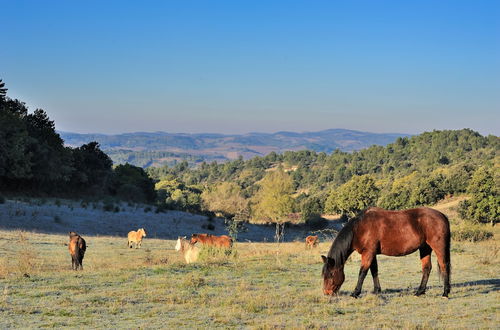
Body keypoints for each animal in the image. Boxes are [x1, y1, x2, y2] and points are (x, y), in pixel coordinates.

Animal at [322, 209, 452, 300]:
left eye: (331, 274)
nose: (327, 293)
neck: (359, 228)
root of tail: (442, 216)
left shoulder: (368, 253)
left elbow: (362, 272)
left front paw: (355, 293)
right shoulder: (372, 253)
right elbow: (374, 271)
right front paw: (377, 290)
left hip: (438, 247)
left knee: (444, 266)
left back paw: (445, 293)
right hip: (425, 248)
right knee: (426, 268)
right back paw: (419, 292)